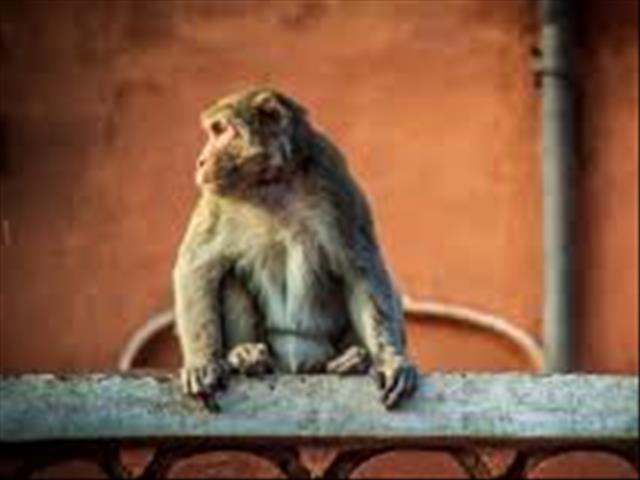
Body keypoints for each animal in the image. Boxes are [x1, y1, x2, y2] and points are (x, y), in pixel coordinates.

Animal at [172, 86, 419, 408]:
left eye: (221, 130)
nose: (201, 161)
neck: (272, 182)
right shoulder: (215, 196)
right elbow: (197, 267)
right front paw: (202, 363)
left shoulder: (332, 173)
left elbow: (362, 268)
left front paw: (391, 360)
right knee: (230, 276)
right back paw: (244, 355)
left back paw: (356, 358)